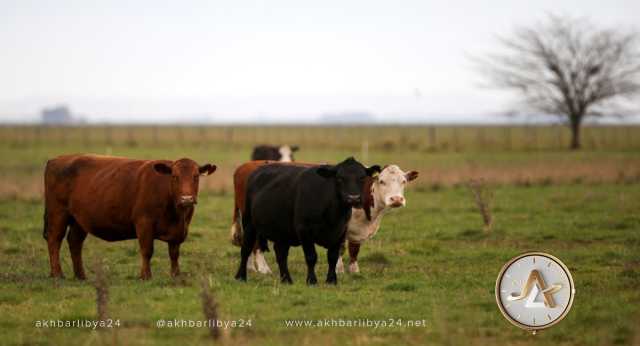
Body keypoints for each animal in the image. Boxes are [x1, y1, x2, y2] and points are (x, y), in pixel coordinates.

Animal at [44, 155, 218, 280]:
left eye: (196, 176)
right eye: (174, 176)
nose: (186, 199)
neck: (176, 214)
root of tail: (57, 159)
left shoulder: (179, 230)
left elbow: (174, 254)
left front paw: (176, 275)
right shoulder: (144, 223)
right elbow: (147, 250)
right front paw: (145, 276)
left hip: (79, 219)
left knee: (74, 242)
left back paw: (80, 275)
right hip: (58, 212)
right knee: (54, 240)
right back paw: (57, 274)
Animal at [236, 157, 380, 284]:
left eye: (362, 178)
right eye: (339, 178)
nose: (353, 198)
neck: (332, 215)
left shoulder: (340, 232)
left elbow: (333, 257)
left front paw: (331, 280)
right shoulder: (304, 230)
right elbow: (311, 257)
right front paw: (312, 280)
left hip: (283, 231)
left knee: (280, 253)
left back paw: (286, 280)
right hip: (249, 223)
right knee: (246, 249)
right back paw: (241, 276)